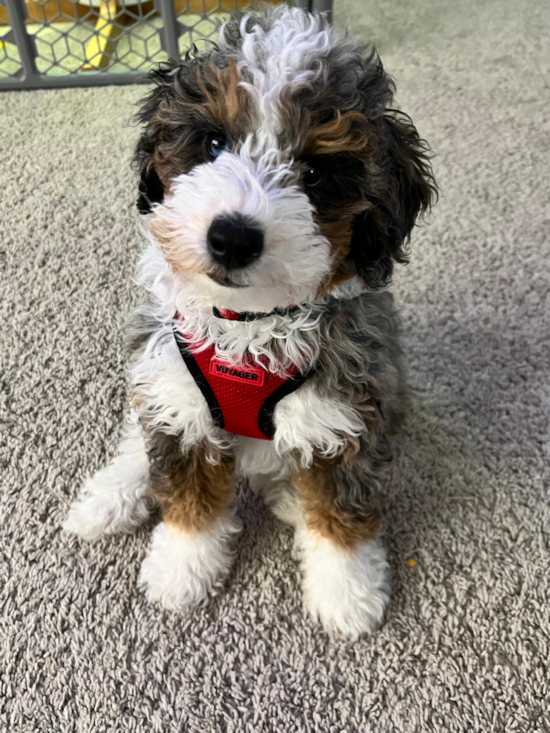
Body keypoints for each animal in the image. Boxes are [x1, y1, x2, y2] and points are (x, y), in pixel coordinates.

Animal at [64, 4, 436, 636]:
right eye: (214, 143)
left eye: (314, 174)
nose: (233, 237)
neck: (248, 327)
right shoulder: (182, 401)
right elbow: (187, 493)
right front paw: (182, 569)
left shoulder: (345, 411)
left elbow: (340, 507)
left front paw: (346, 592)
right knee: (139, 439)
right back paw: (108, 499)